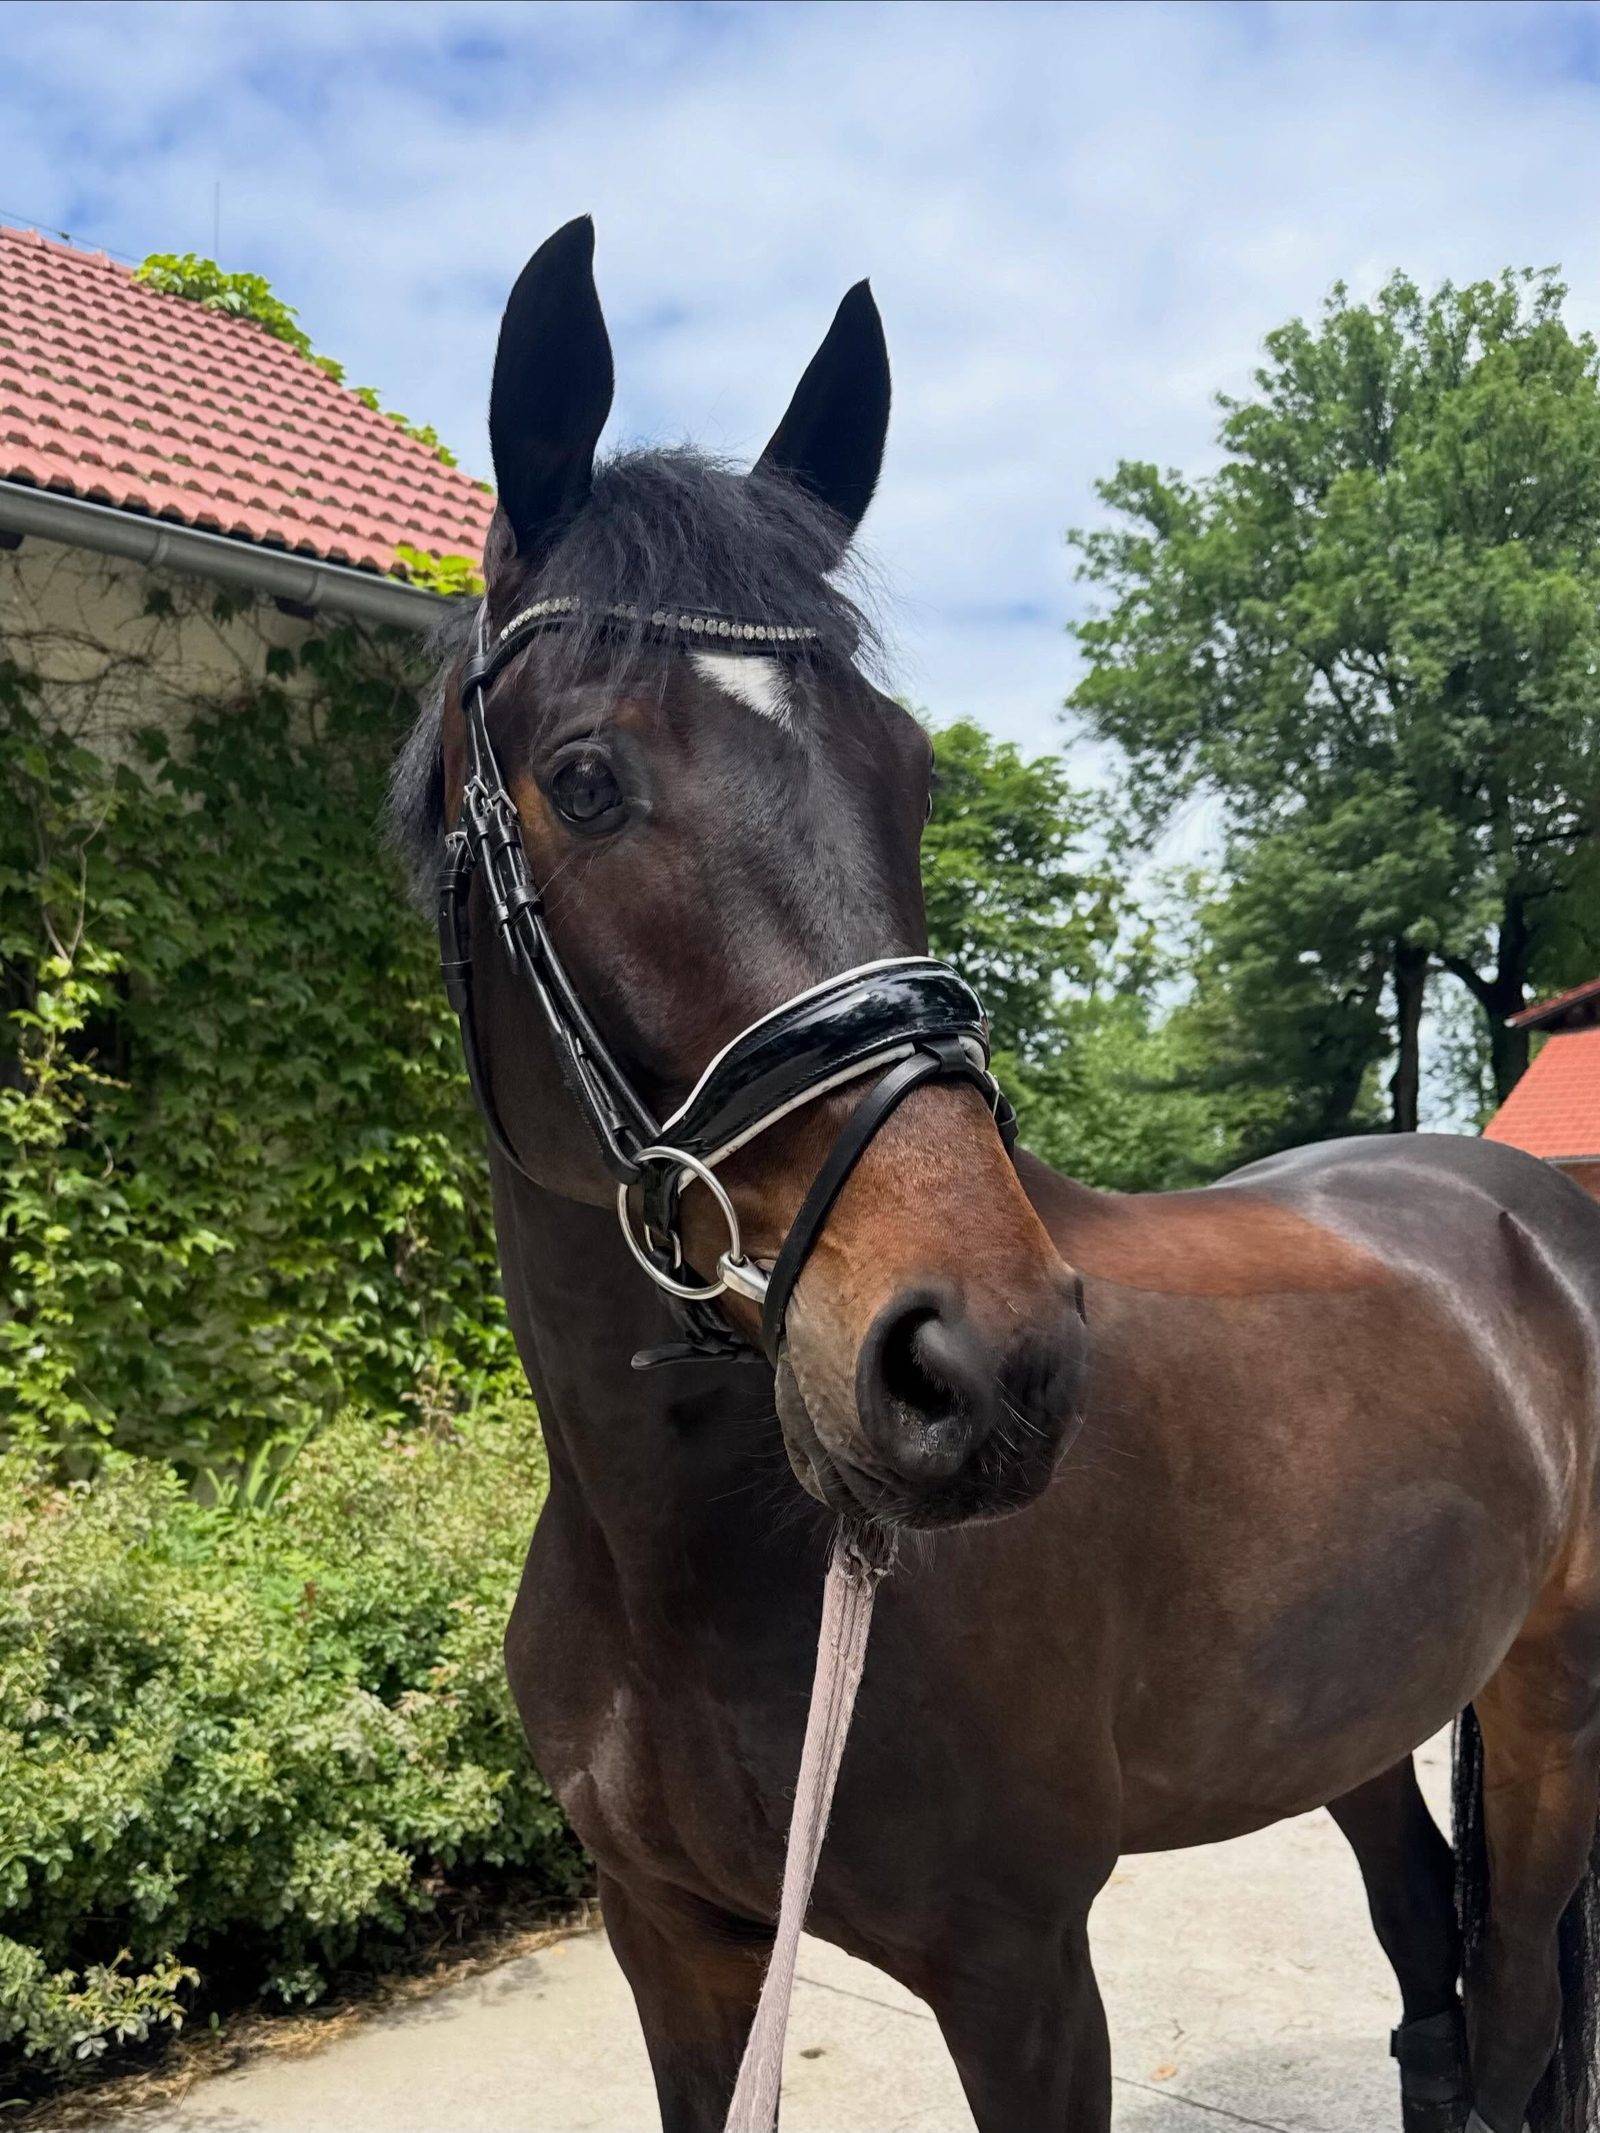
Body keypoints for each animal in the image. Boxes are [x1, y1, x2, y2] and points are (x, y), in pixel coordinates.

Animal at [390, 216, 1600, 2133]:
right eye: (584, 780)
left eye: (914, 773)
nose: (983, 1362)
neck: (694, 1562)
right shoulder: (672, 1947)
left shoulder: (1022, 1972)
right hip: (1355, 1715)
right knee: (1430, 1965)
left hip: (1552, 1701)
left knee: (1516, 2012)